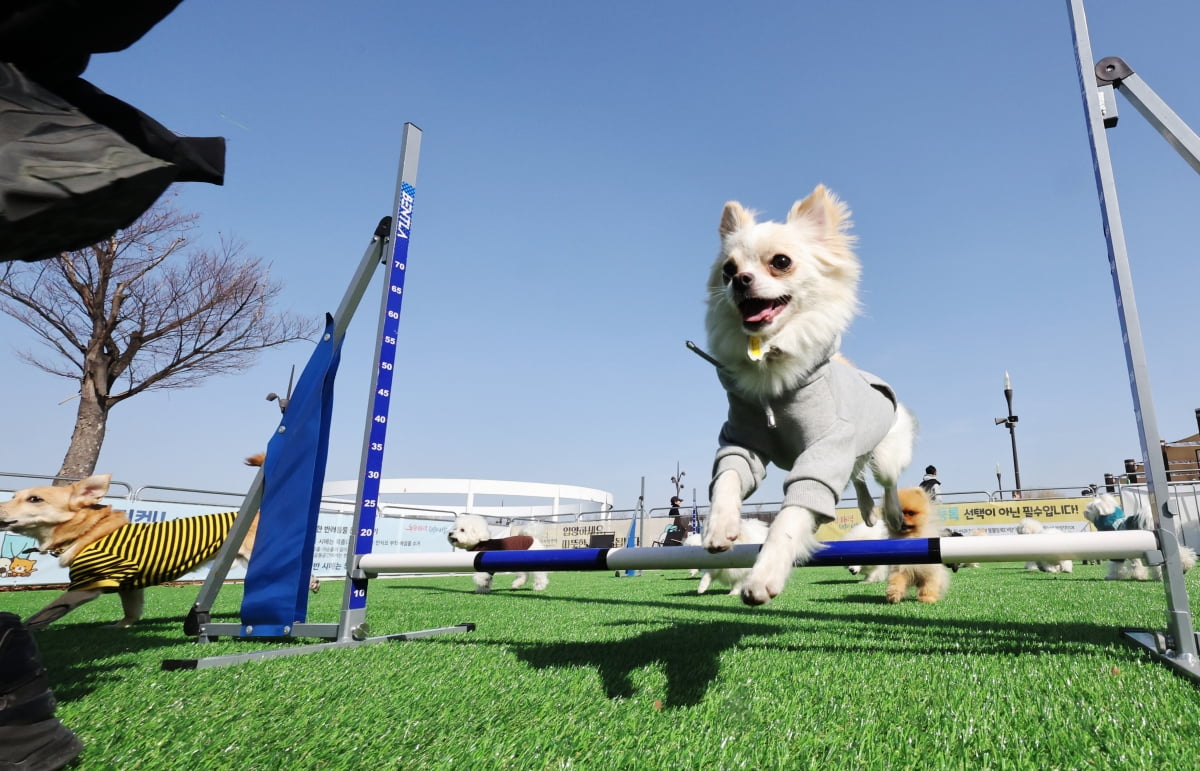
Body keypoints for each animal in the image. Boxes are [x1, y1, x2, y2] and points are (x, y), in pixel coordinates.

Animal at [0, 470, 253, 629]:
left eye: (35, 499)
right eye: (13, 496)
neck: (89, 532)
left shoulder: (87, 585)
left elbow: (43, 613)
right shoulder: (130, 588)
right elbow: (131, 611)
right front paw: (121, 626)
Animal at [700, 182, 912, 602]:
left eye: (781, 262)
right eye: (727, 270)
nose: (739, 279)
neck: (772, 370)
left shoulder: (826, 451)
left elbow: (790, 517)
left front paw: (764, 576)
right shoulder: (740, 443)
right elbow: (729, 479)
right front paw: (721, 527)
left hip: (884, 452)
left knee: (887, 480)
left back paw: (892, 514)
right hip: (854, 453)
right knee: (858, 478)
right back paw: (868, 511)